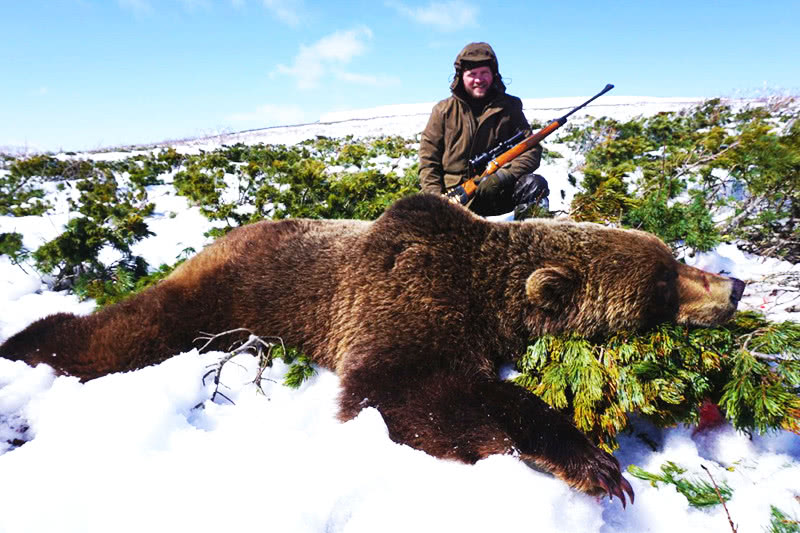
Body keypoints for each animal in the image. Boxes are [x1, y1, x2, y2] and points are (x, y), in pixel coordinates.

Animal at [0, 193, 744, 504]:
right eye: (662, 279)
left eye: (673, 260)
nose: (733, 284)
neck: (484, 287)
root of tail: (222, 237)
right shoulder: (405, 301)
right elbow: (406, 394)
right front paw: (596, 465)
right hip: (232, 294)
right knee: (125, 331)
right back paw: (25, 339)